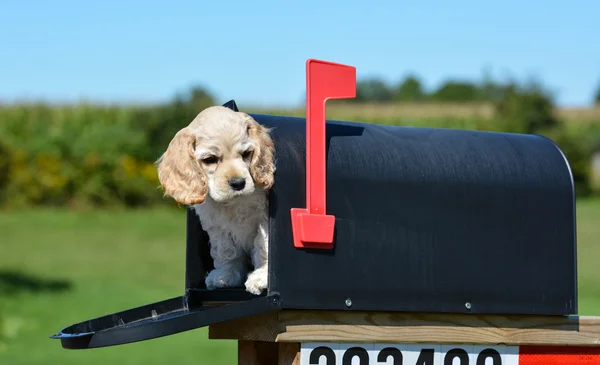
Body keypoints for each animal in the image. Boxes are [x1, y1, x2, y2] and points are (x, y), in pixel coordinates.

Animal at [156, 104, 276, 292]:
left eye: (246, 153)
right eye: (210, 159)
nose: (238, 183)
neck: (233, 203)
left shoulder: (263, 218)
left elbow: (263, 245)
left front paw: (262, 276)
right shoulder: (218, 226)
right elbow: (226, 250)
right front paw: (225, 275)